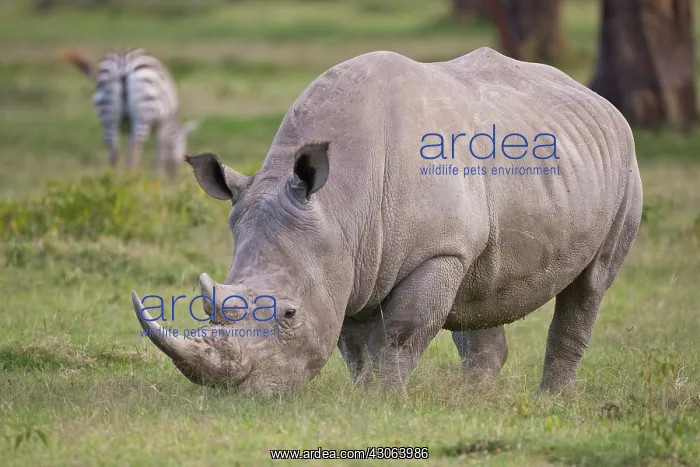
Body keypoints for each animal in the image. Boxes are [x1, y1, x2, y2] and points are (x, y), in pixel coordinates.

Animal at [131, 47, 643, 395]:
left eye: (290, 314)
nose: (239, 395)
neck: (339, 203)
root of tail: (596, 99)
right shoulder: (348, 258)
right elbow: (353, 339)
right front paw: (363, 393)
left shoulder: (436, 251)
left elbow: (400, 332)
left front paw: (379, 400)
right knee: (480, 288)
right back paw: (474, 401)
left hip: (626, 167)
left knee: (590, 285)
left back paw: (550, 402)